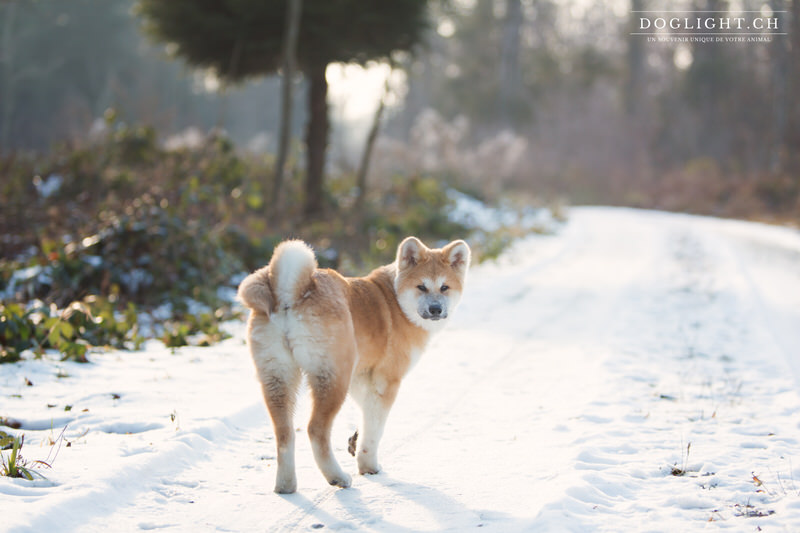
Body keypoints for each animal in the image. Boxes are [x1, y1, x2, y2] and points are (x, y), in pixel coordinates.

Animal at [241, 235, 472, 492]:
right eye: (421, 286)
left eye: (444, 287)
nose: (435, 309)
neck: (396, 302)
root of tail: (290, 292)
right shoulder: (385, 380)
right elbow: (375, 427)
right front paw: (368, 465)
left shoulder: (360, 377)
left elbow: (366, 414)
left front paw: (355, 442)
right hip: (332, 378)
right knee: (316, 430)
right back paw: (337, 476)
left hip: (277, 378)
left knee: (284, 433)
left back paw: (285, 485)